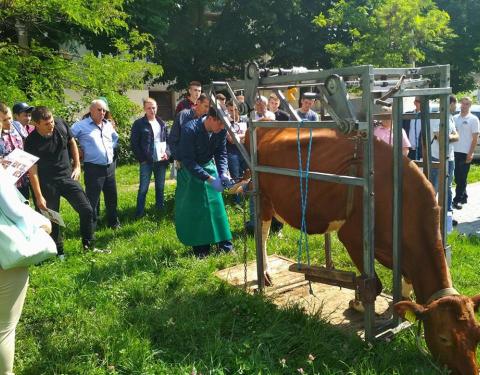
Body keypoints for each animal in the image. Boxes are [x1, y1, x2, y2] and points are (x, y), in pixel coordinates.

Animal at [249, 128, 480, 374]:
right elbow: (373, 284)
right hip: (262, 197)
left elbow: (405, 283)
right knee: (261, 234)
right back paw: (264, 275)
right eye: (444, 338)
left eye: (477, 335)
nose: (472, 372)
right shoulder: (353, 237)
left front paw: (398, 304)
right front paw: (359, 305)